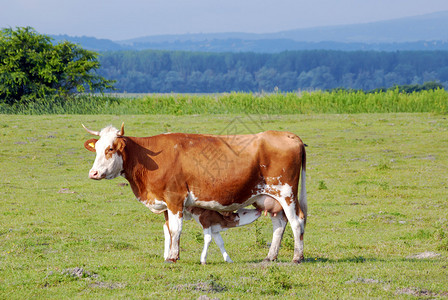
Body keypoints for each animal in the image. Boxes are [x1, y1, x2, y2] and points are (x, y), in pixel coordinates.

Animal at [83, 123, 308, 264]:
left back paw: (297, 257)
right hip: (270, 198)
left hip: (287, 193)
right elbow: (168, 230)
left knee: (297, 221)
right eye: (97, 149)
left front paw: (173, 257)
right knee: (279, 224)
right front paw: (169, 255)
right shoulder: (165, 203)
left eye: (111, 149)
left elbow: (176, 229)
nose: (93, 173)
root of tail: (289, 136)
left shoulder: (175, 198)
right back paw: (270, 257)